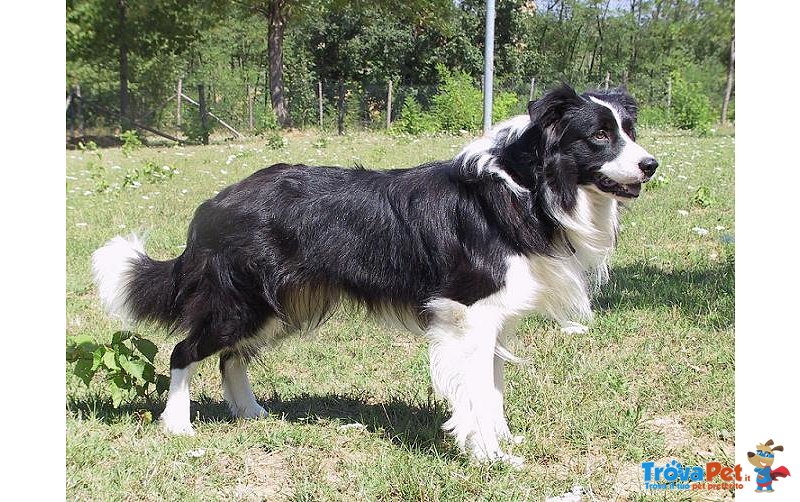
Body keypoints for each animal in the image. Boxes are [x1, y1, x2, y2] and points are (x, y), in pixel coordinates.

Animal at [92, 85, 656, 466]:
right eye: (599, 136)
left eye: (629, 131)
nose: (651, 165)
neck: (527, 185)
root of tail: (212, 205)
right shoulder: (468, 314)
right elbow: (475, 391)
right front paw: (489, 456)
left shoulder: (496, 317)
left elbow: (493, 387)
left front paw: (501, 440)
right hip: (240, 302)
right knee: (184, 350)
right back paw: (177, 425)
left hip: (275, 305)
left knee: (231, 357)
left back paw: (251, 413)